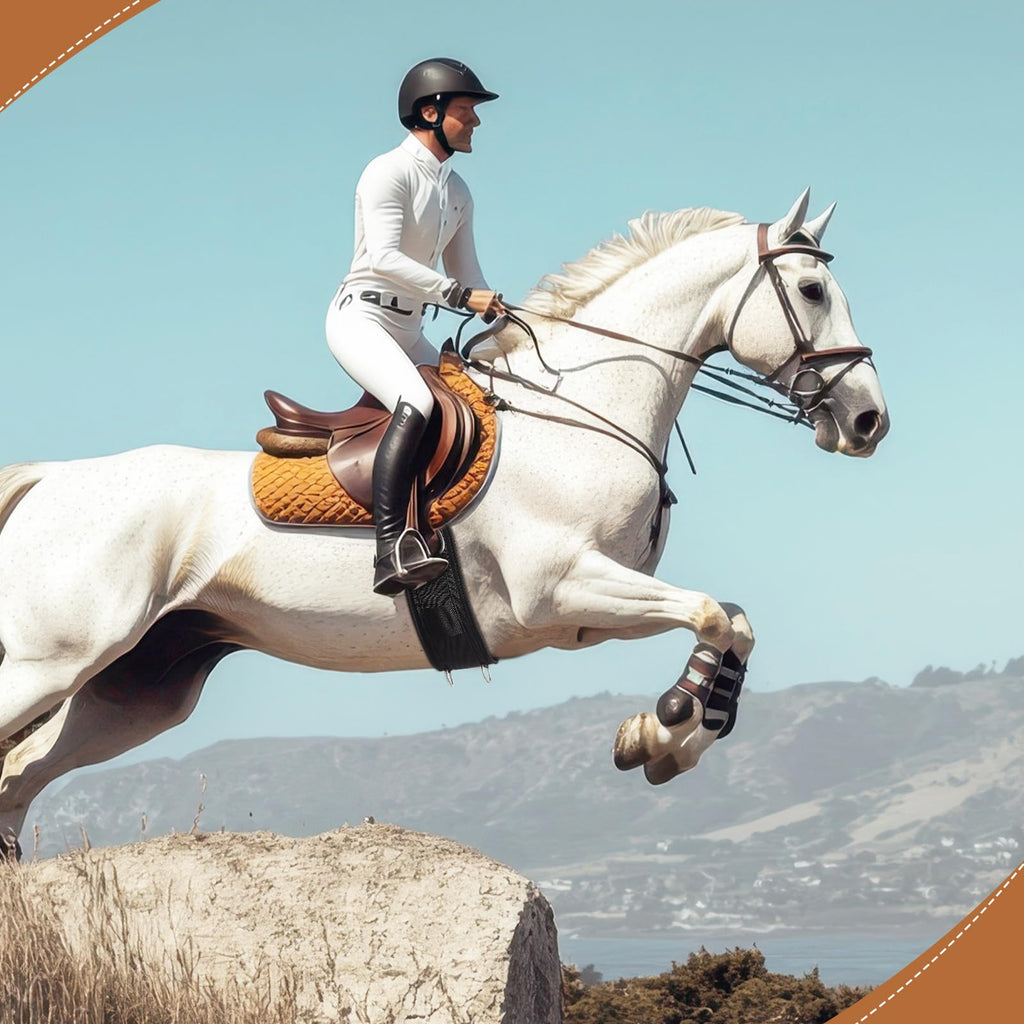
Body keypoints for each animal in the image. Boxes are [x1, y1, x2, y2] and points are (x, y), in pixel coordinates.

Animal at [0, 190, 888, 859]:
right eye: (812, 292)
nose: (869, 420)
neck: (582, 409)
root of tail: (52, 479)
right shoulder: (561, 589)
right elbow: (712, 612)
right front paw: (668, 724)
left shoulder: (588, 614)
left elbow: (732, 619)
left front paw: (668, 736)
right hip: (56, 660)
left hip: (139, 687)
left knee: (19, 777)